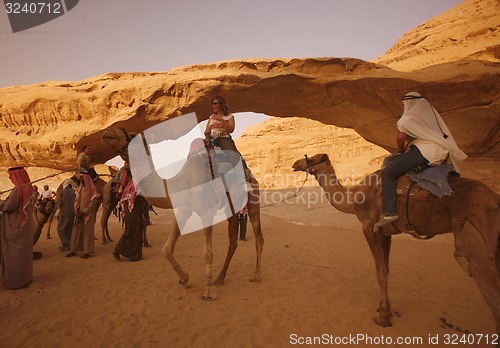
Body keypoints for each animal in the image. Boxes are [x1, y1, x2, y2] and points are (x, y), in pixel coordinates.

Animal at [102, 128, 266, 300]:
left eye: (133, 136)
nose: (108, 131)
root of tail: (251, 175)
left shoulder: (206, 211)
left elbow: (207, 253)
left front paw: (209, 292)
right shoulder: (182, 210)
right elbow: (166, 249)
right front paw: (185, 279)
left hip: (253, 200)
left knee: (258, 238)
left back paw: (255, 275)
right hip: (231, 209)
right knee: (233, 242)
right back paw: (220, 278)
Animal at [292, 154, 500, 334]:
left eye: (310, 158)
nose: (295, 164)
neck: (354, 197)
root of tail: (495, 201)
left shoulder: (369, 227)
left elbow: (380, 273)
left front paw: (384, 316)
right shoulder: (385, 233)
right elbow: (387, 270)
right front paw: (383, 308)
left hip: (476, 244)